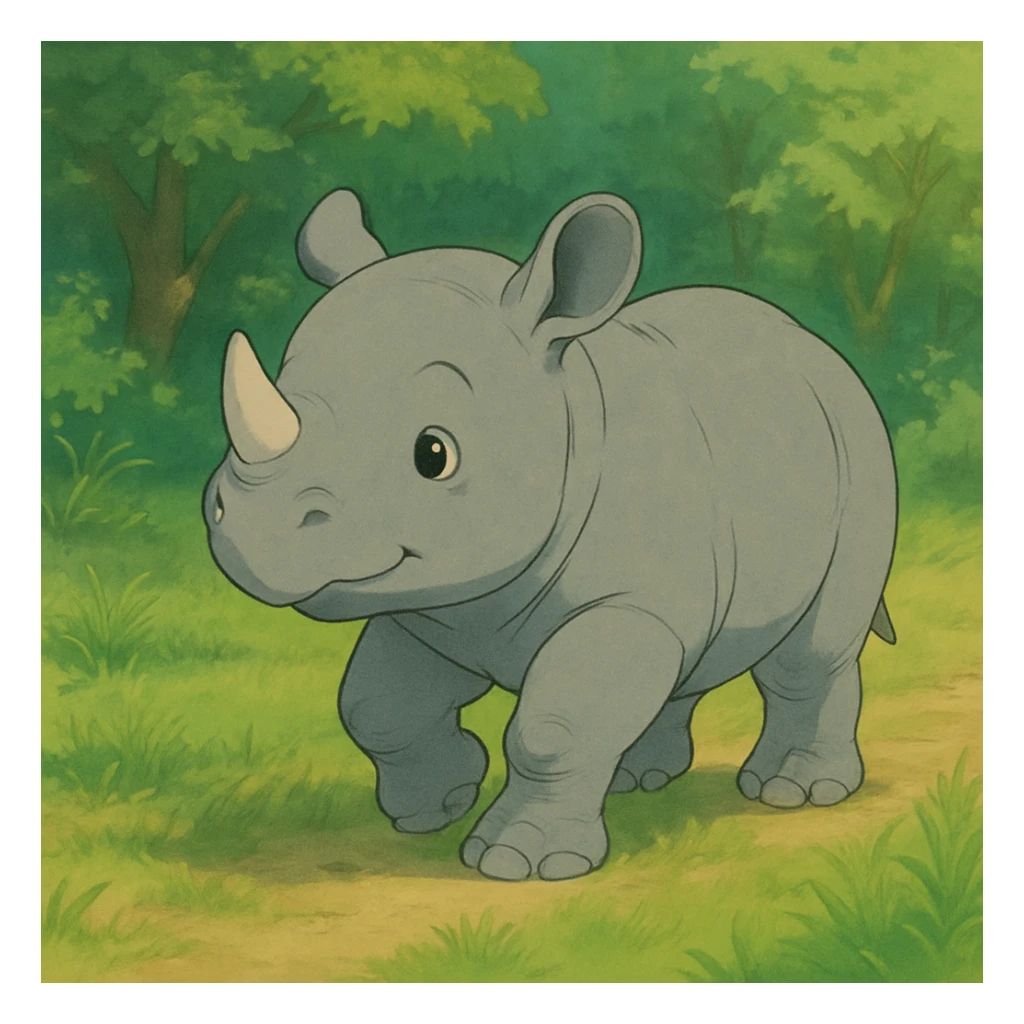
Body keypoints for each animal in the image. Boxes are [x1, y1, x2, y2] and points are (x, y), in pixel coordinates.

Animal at [203, 189, 898, 882]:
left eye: (434, 454)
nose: (251, 526)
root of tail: (816, 346)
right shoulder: (431, 613)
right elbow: (376, 706)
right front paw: (435, 806)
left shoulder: (623, 603)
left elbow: (552, 726)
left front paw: (519, 863)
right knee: (686, 653)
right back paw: (637, 780)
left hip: (860, 443)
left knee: (811, 651)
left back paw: (792, 792)